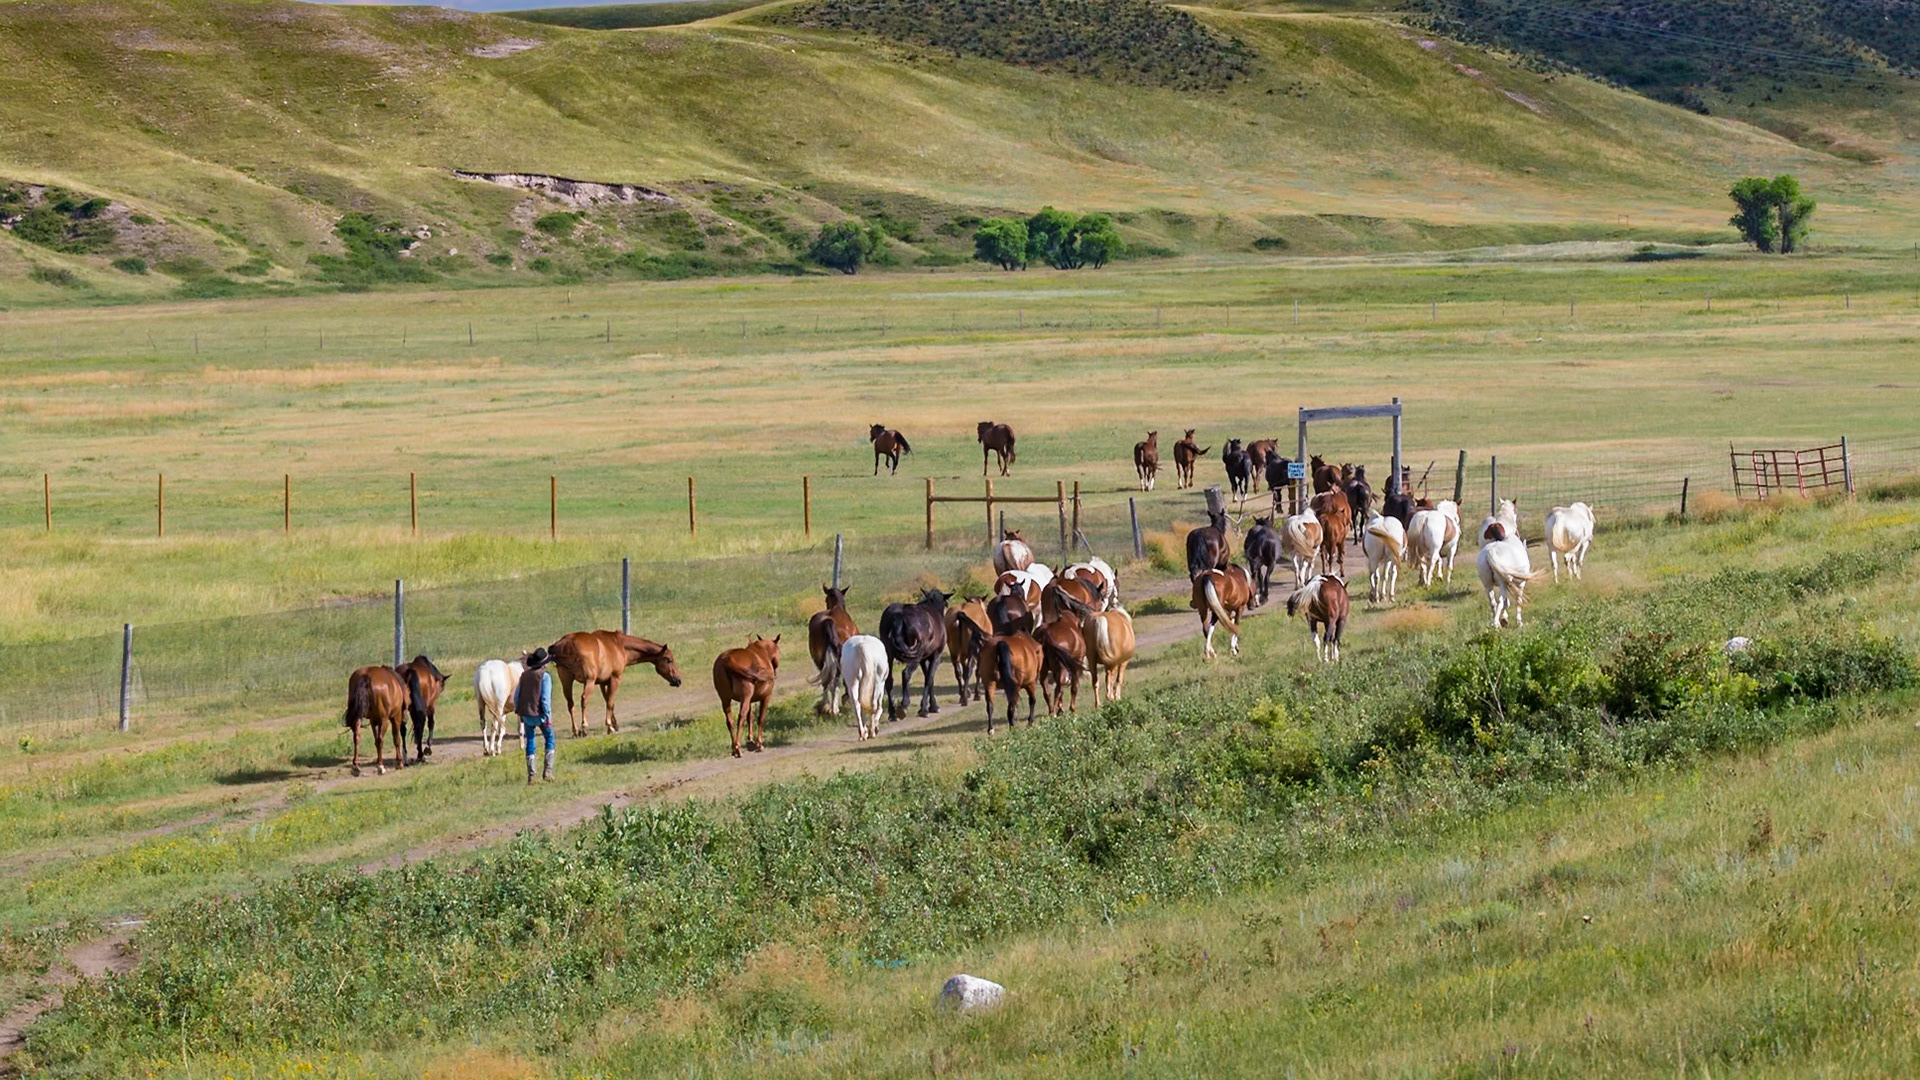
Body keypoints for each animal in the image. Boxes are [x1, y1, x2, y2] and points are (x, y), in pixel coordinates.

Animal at [547, 631, 685, 737]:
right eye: (669, 660)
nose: (678, 680)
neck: (619, 645)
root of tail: (566, 644)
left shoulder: (603, 683)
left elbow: (609, 702)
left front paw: (615, 724)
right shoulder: (615, 679)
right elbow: (610, 702)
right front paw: (610, 727)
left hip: (566, 680)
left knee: (570, 704)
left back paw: (576, 730)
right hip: (589, 681)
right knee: (584, 700)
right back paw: (584, 728)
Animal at [807, 585, 859, 716]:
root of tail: (829, 621)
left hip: (819, 658)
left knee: (826, 680)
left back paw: (826, 706)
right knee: (834, 679)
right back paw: (833, 707)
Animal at [879, 588, 949, 718]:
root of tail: (899, 615)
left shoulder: (923, 659)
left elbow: (928, 677)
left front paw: (932, 705)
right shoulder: (936, 656)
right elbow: (929, 678)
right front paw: (925, 708)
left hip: (890, 655)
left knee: (889, 680)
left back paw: (892, 713)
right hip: (914, 656)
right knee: (906, 673)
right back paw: (904, 705)